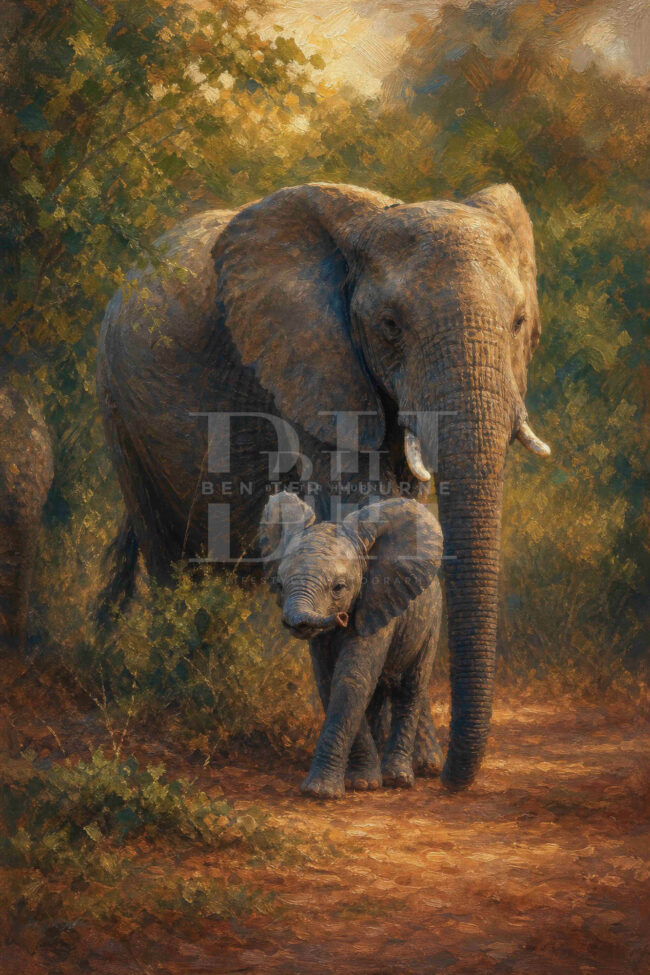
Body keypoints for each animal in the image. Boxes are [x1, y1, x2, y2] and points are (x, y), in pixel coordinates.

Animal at [259, 491, 444, 799]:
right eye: (281, 585)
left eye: (339, 588)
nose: (343, 617)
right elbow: (329, 681)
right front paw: (362, 782)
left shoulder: (376, 601)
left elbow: (351, 678)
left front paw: (323, 792)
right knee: (381, 692)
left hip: (431, 620)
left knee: (411, 686)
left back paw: (398, 777)